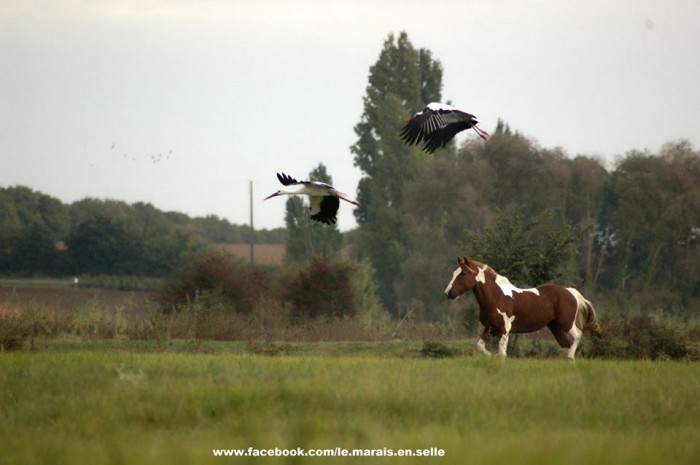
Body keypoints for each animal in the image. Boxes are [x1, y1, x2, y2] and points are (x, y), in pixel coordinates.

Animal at [442, 256, 600, 360]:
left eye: (463, 273)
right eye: (454, 273)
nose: (448, 292)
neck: (496, 297)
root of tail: (570, 292)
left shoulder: (504, 329)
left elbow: (502, 353)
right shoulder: (489, 327)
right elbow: (480, 347)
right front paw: (491, 356)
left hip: (566, 323)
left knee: (577, 335)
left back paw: (571, 357)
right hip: (554, 326)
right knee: (566, 345)